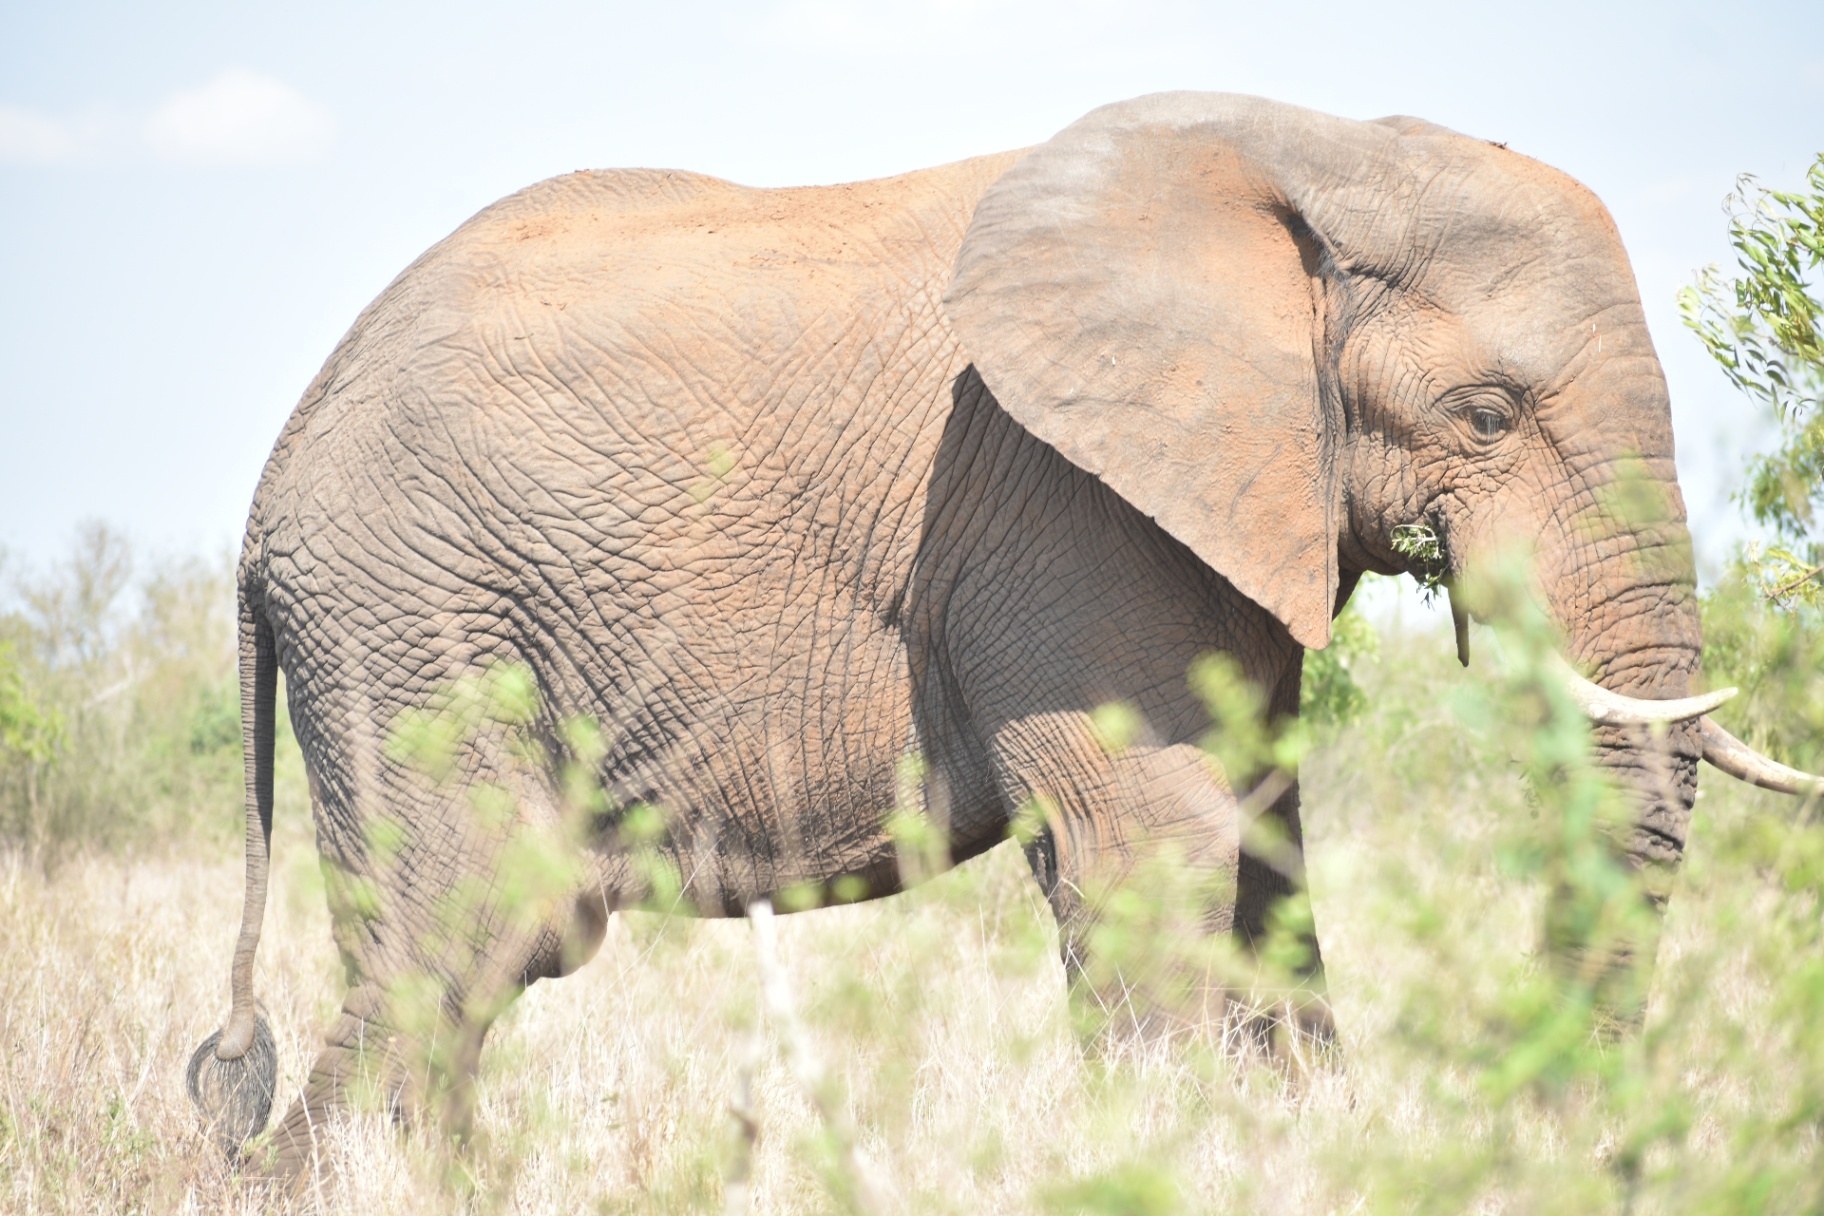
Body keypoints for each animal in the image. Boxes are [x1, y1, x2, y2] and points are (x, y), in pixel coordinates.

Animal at [187, 91, 1819, 1176]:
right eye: (1486, 416)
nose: (1564, 1131)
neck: (1316, 151)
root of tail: (268, 485)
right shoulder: (1060, 499)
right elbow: (1151, 834)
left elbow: (1264, 832)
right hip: (415, 617)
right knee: (477, 929)